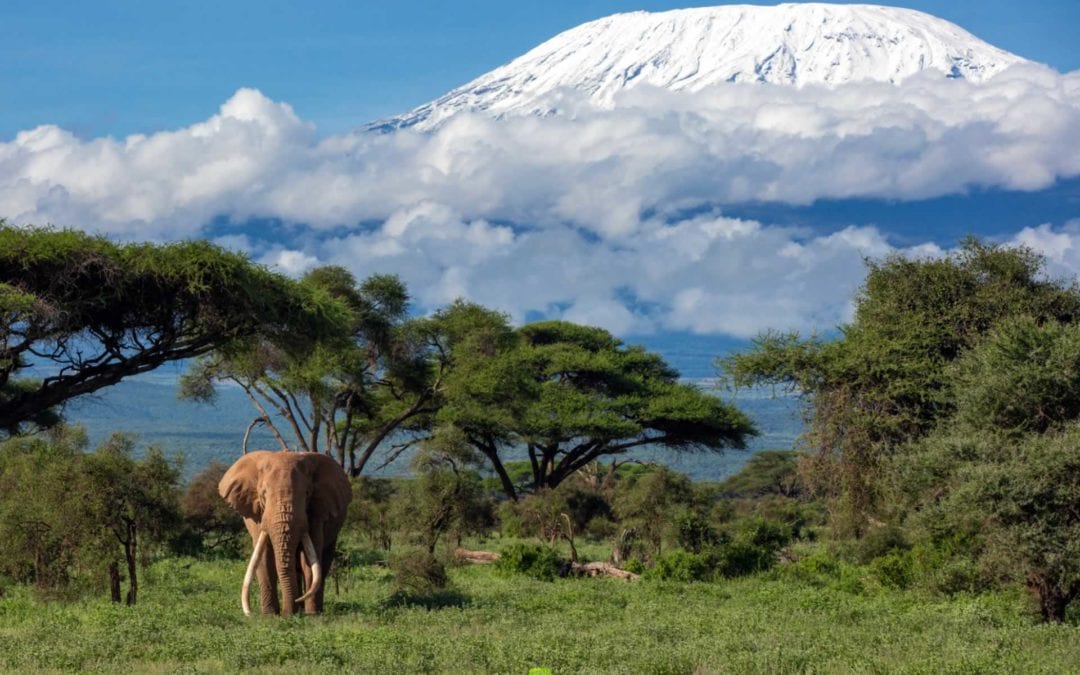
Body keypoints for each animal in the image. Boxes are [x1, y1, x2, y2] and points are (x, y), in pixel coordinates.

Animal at [217, 449, 352, 613]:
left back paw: (312, 609)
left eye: (307, 494)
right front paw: (269, 615)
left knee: (322, 560)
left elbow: (310, 558)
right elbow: (264, 557)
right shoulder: (257, 515)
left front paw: (311, 614)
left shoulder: (317, 511)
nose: (287, 614)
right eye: (263, 494)